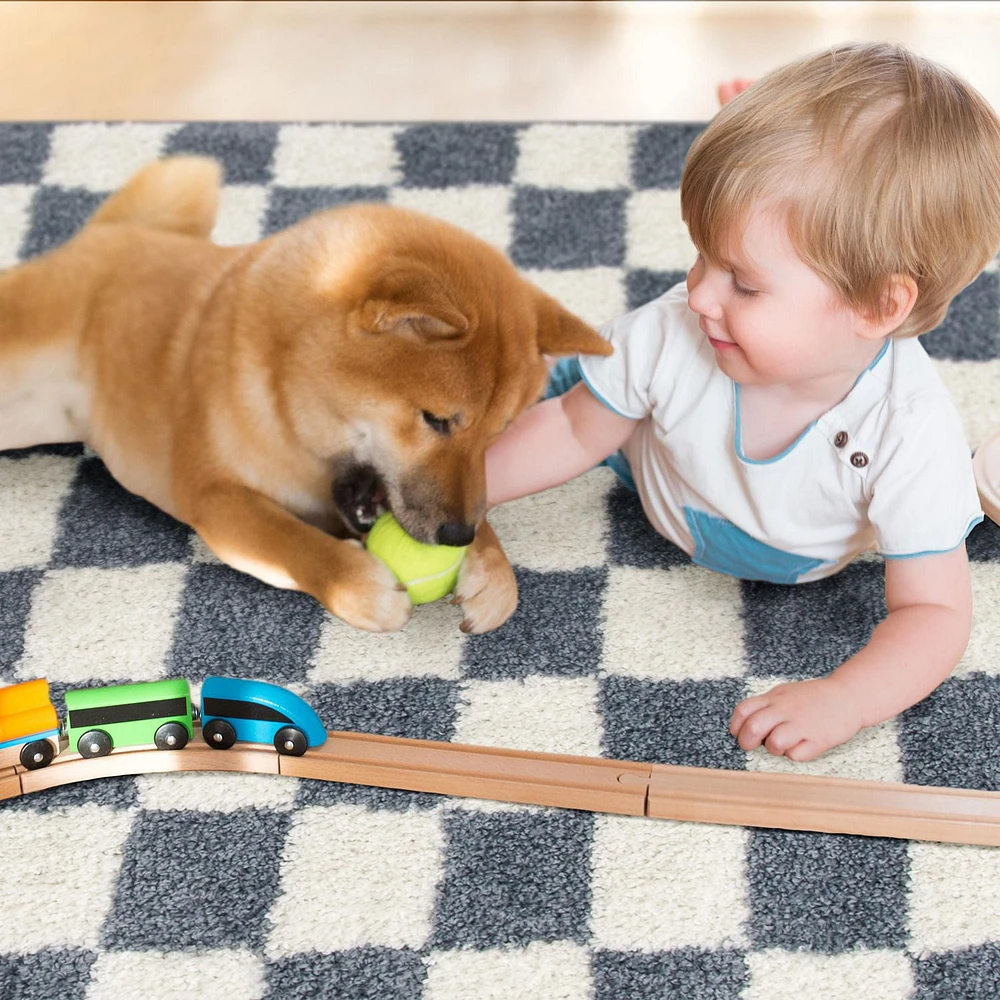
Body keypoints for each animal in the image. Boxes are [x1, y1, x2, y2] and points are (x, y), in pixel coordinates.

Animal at [0, 157, 612, 632]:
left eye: (499, 433)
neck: (286, 403)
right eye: (436, 420)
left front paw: (490, 567)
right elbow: (292, 542)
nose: (455, 534)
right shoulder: (214, 496)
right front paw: (357, 583)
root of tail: (109, 234)